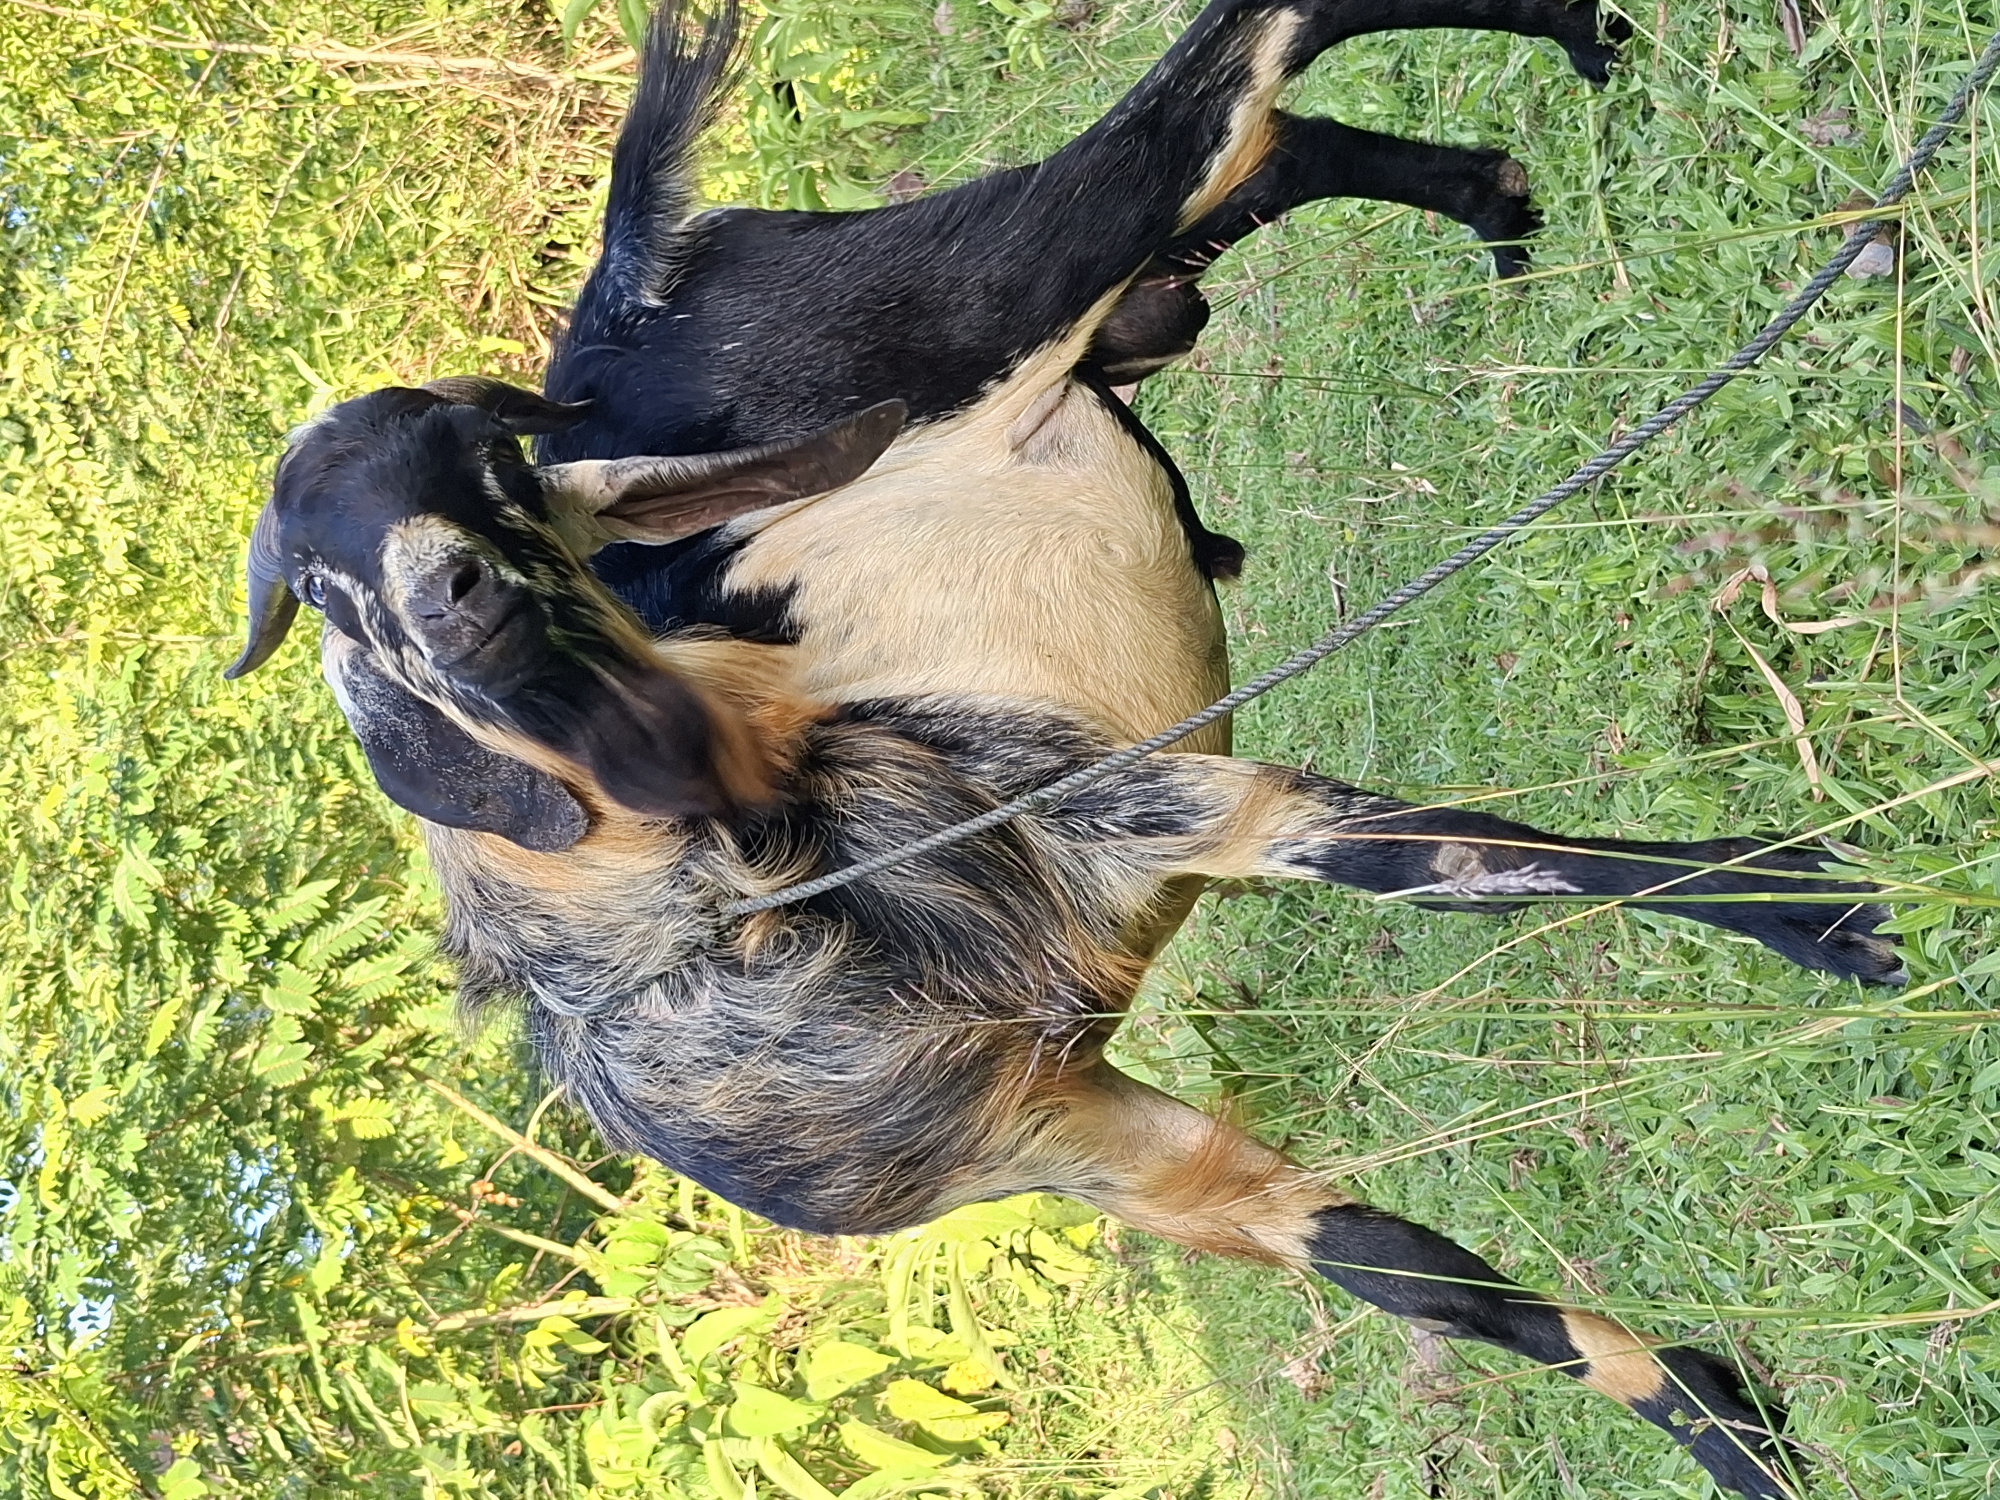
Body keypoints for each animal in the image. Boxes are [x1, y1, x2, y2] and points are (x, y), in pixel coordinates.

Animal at [226, 4, 1906, 1493]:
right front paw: (1738, 1437)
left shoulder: (1135, 794)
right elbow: (1425, 1281)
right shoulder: (1084, 1146)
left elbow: (1452, 857)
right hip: (1112, 302)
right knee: (1269, 143)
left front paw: (1837, 918)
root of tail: (630, 284)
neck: (760, 904)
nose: (462, 599)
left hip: (994, 276)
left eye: (489, 469)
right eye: (322, 589)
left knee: (1238, 58)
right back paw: (1500, 199)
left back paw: (1581, 46)